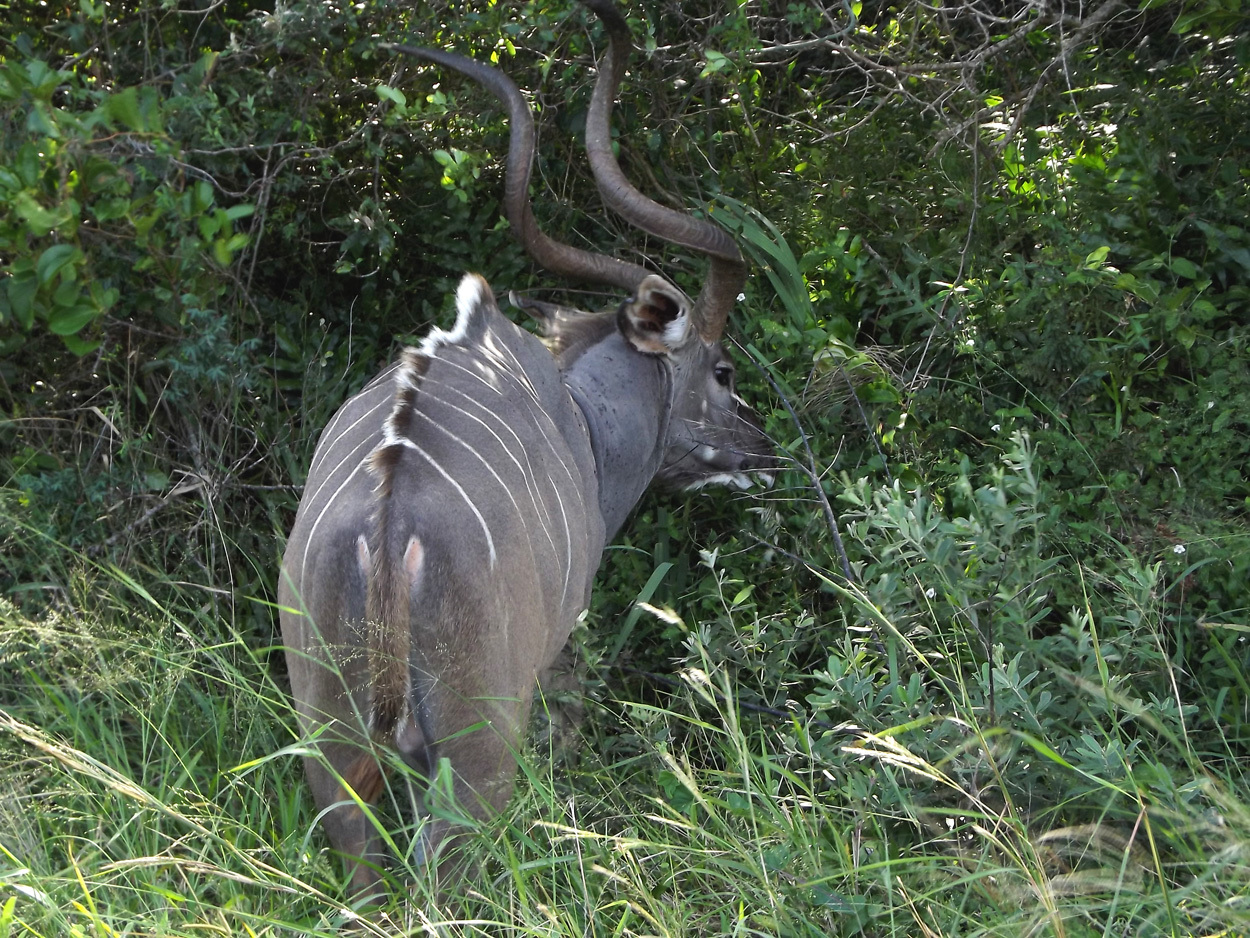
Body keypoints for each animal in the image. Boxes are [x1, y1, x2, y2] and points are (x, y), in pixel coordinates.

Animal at [278, 0, 770, 895]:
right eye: (721, 369)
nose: (763, 450)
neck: (580, 418)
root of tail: (385, 526)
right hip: (473, 755)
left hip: (335, 750)